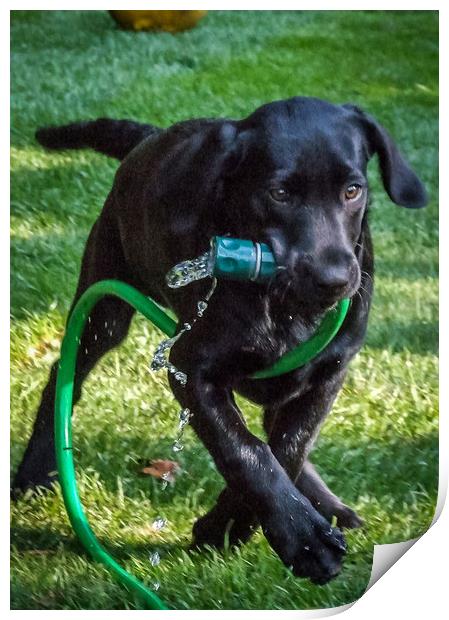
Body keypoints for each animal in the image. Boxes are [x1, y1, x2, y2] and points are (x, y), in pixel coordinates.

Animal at [13, 98, 428, 588]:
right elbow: (245, 451)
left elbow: (288, 446)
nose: (335, 280)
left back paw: (328, 505)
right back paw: (33, 472)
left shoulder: (329, 373)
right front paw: (297, 539)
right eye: (278, 194)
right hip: (105, 304)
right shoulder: (190, 369)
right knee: (64, 376)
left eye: (352, 191)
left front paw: (232, 526)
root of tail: (148, 139)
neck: (282, 305)